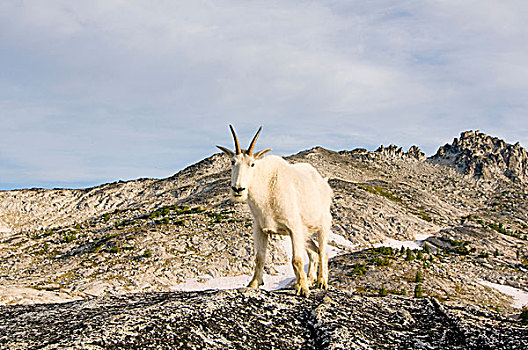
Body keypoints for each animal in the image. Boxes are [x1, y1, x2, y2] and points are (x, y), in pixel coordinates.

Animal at [217, 125, 332, 296]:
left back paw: (321, 282)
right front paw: (253, 284)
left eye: (252, 164)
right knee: (314, 252)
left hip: (323, 224)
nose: (238, 189)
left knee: (323, 251)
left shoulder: (294, 227)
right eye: (232, 162)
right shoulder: (260, 228)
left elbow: (297, 260)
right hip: (305, 233)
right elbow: (259, 257)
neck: (267, 187)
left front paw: (303, 290)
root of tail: (324, 183)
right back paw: (309, 280)